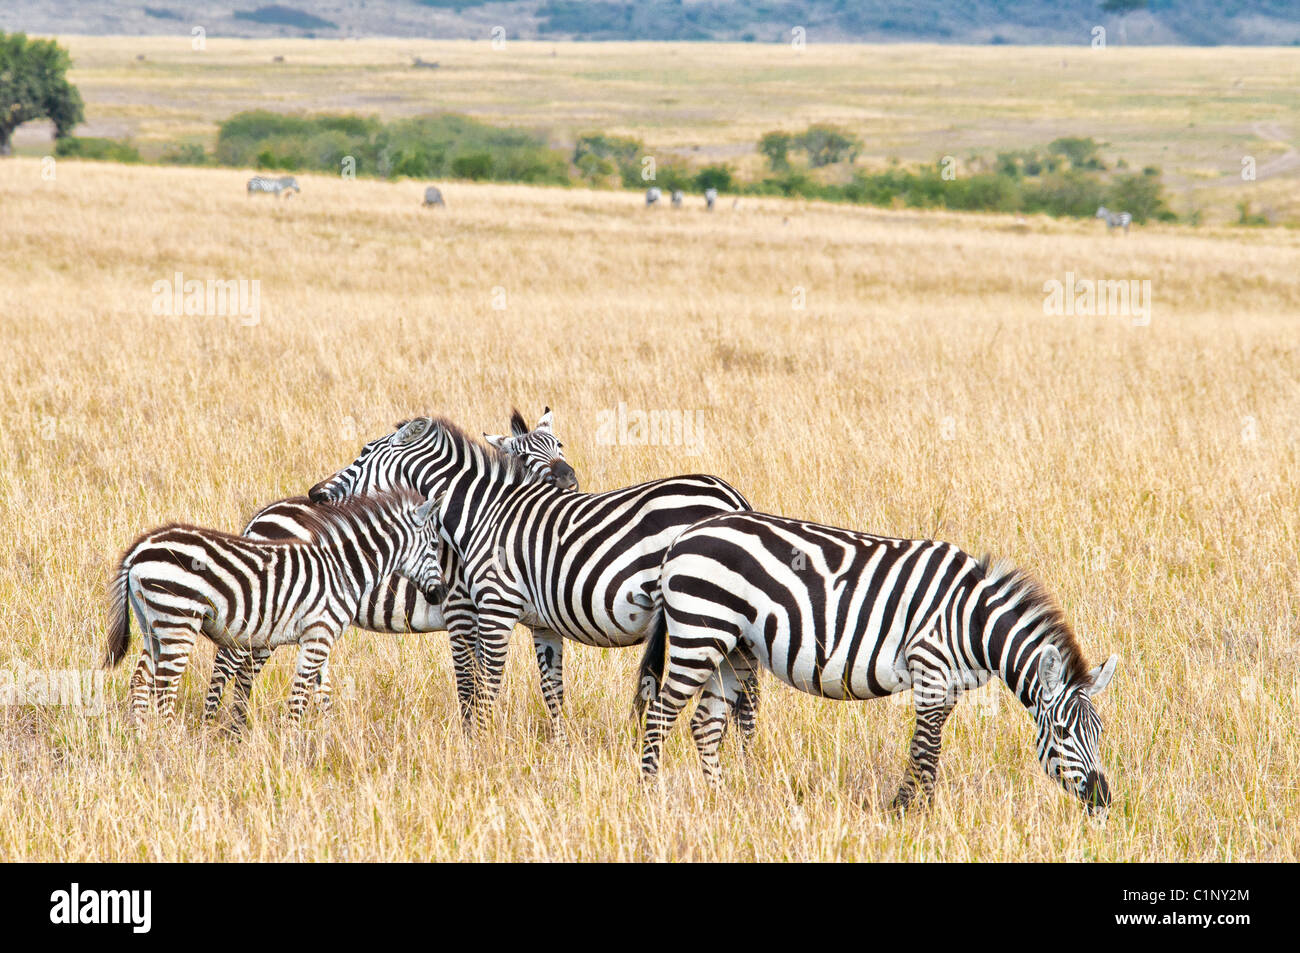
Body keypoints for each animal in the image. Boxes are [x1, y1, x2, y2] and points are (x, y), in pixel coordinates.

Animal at [104, 491, 447, 728]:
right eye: (435, 546)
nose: (441, 592)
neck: (343, 568)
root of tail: (140, 548)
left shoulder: (319, 636)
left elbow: (319, 692)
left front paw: (324, 737)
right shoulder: (318, 634)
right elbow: (300, 696)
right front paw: (295, 745)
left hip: (154, 623)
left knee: (142, 678)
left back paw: (144, 737)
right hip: (180, 620)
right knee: (168, 686)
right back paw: (175, 741)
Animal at [196, 405, 574, 722]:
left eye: (560, 446)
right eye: (522, 457)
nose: (569, 480)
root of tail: (261, 516)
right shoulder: (462, 611)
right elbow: (470, 682)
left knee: (250, 666)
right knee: (228, 662)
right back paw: (213, 726)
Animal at [310, 418, 759, 738]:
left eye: (363, 452)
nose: (315, 495)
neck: (483, 512)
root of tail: (732, 495)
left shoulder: (489, 608)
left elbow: (481, 684)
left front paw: (480, 746)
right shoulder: (542, 624)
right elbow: (552, 690)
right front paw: (560, 750)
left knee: (747, 696)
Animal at [637, 509, 1118, 816]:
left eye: (1099, 733)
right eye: (1061, 732)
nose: (1103, 801)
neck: (972, 621)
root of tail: (682, 538)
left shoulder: (948, 686)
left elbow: (928, 746)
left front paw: (914, 806)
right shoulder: (930, 668)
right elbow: (927, 746)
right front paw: (910, 813)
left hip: (733, 647)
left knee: (705, 724)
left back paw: (719, 802)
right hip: (700, 634)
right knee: (660, 715)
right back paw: (650, 794)